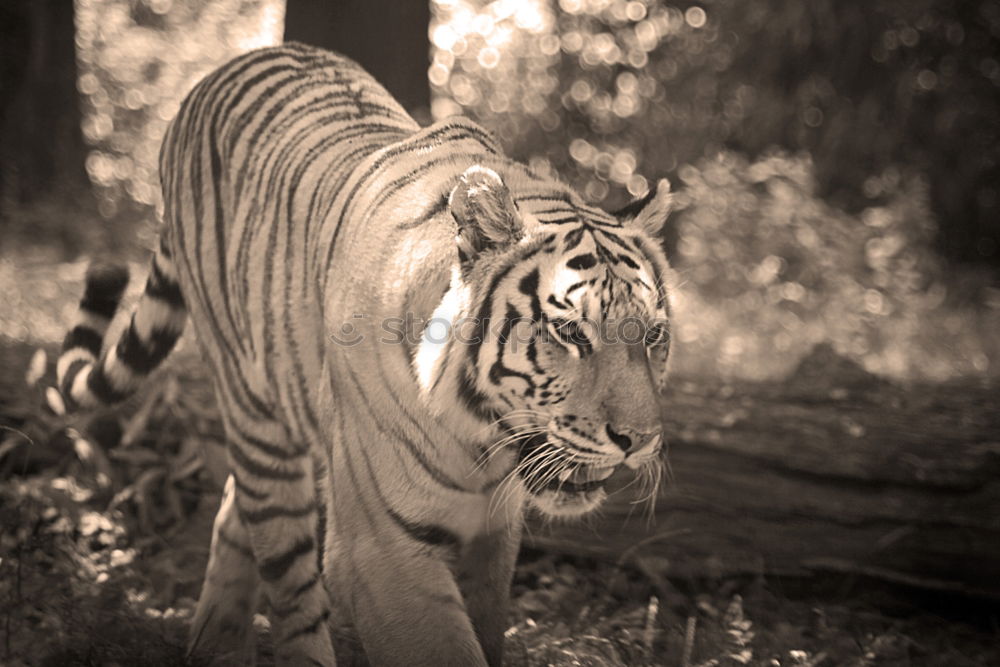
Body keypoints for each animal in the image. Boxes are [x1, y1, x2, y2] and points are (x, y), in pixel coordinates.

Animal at [52, 43, 672, 667]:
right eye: (569, 332)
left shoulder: (492, 538)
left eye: (652, 336)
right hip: (257, 421)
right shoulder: (381, 549)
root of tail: (229, 67)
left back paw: (213, 647)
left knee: (232, 514)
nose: (638, 441)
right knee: (284, 571)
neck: (482, 444)